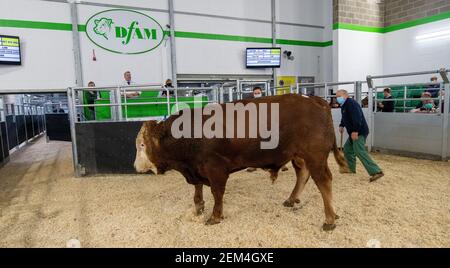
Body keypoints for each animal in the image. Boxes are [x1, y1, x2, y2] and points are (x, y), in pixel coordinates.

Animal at [134, 93, 352, 230]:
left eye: (142, 145)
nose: (135, 166)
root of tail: (315, 99)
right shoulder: (196, 168)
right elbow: (197, 190)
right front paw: (198, 208)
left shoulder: (215, 169)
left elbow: (217, 193)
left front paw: (215, 216)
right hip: (298, 155)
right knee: (303, 174)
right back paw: (293, 200)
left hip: (315, 156)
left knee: (323, 181)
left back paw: (330, 219)